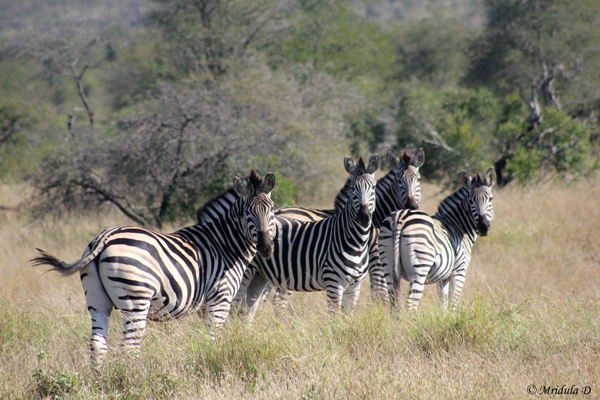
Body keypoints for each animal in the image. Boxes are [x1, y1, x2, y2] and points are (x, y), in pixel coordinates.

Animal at [31, 170, 276, 368]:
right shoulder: (220, 298)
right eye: (247, 213)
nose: (265, 247)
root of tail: (104, 237)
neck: (225, 244)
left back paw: (99, 383)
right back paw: (134, 381)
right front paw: (212, 362)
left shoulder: (206, 305)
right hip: (135, 298)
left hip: (96, 300)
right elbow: (212, 339)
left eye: (271, 211)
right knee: (130, 347)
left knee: (98, 346)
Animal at [234, 155, 380, 324]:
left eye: (374, 188)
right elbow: (335, 319)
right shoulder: (334, 283)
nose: (363, 217)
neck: (357, 241)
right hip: (247, 272)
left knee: (247, 309)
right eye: (352, 189)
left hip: (260, 275)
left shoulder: (355, 286)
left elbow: (347, 317)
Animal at [270, 150, 424, 306]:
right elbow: (381, 292)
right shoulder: (377, 257)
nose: (411, 206)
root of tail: (277, 211)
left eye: (418, 180)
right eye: (399, 181)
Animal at [380, 167, 496, 310]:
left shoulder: (443, 277)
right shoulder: (459, 271)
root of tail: (400, 218)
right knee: (411, 303)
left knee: (393, 302)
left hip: (387, 265)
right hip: (420, 267)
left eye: (490, 199)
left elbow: (443, 302)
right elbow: (453, 302)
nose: (483, 227)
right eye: (470, 201)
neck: (458, 225)